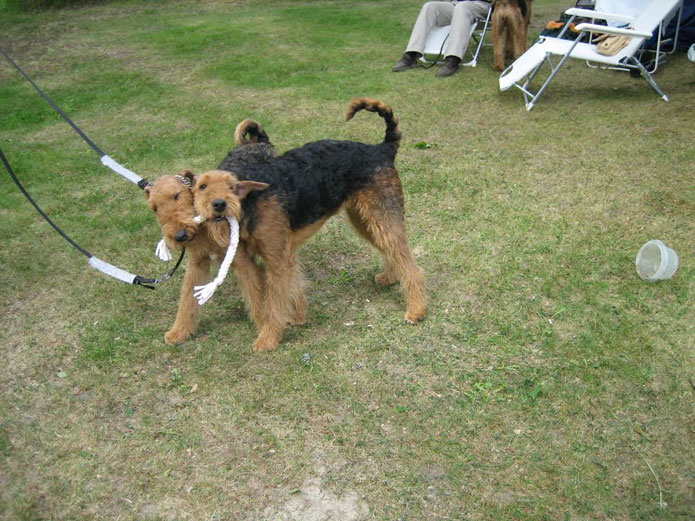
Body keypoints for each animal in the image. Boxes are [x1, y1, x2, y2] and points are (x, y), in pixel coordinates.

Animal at [144, 119, 274, 345]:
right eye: (154, 208)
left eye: (176, 195)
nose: (180, 236)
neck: (205, 230)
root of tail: (256, 142)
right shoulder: (197, 263)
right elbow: (187, 299)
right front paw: (178, 332)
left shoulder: (241, 261)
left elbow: (256, 295)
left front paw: (265, 327)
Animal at [191, 98, 426, 352]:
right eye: (202, 187)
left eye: (232, 186)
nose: (218, 205)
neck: (251, 201)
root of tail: (381, 149)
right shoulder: (253, 261)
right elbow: (267, 294)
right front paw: (294, 318)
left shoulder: (277, 259)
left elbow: (274, 302)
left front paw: (268, 338)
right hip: (367, 221)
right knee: (393, 252)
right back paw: (389, 278)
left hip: (382, 216)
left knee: (412, 266)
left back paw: (416, 311)